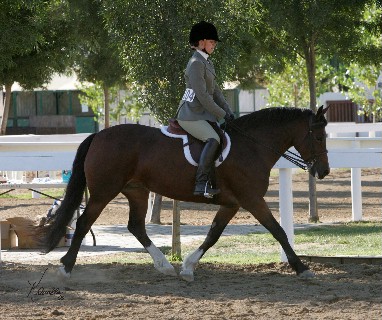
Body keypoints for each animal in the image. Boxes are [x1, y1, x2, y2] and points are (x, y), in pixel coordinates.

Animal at [41, 105, 328, 280]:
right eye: (318, 137)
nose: (324, 170)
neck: (252, 146)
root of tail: (98, 135)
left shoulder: (232, 204)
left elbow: (213, 235)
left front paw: (188, 267)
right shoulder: (252, 200)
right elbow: (278, 231)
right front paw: (302, 268)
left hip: (137, 191)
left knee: (136, 226)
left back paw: (165, 266)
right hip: (103, 192)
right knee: (83, 223)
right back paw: (65, 268)